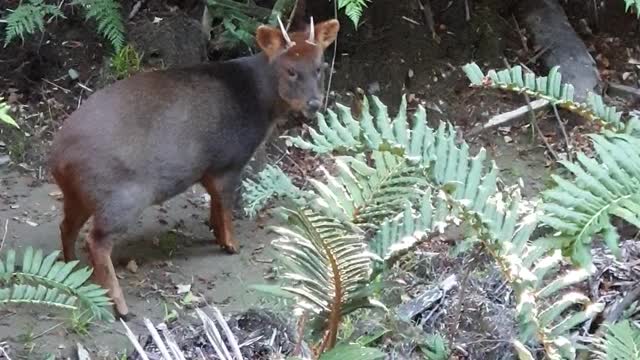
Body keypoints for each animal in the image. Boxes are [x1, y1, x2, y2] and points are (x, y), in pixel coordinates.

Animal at [49, 18, 340, 320]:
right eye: (291, 70)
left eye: (319, 67)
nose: (314, 104)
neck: (258, 100)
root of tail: (57, 158)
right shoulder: (229, 161)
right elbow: (225, 204)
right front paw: (231, 245)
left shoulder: (209, 168)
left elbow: (214, 203)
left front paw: (215, 232)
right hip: (121, 198)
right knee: (96, 241)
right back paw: (120, 306)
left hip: (79, 195)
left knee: (66, 226)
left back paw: (71, 267)